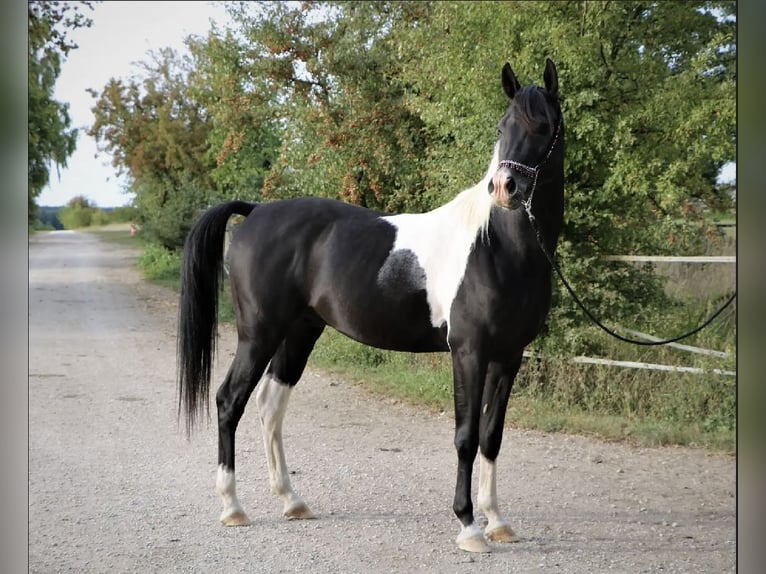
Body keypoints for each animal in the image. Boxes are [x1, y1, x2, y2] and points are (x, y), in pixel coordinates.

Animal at [177, 58, 565, 553]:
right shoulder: (469, 353)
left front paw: (496, 520)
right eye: (503, 126)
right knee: (230, 401)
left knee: (269, 405)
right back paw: (232, 507)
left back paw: (291, 501)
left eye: (544, 125)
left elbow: (491, 437)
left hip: (298, 333)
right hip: (258, 333)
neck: (495, 247)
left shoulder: (508, 357)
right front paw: (469, 526)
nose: (504, 187)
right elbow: (465, 436)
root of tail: (257, 210)